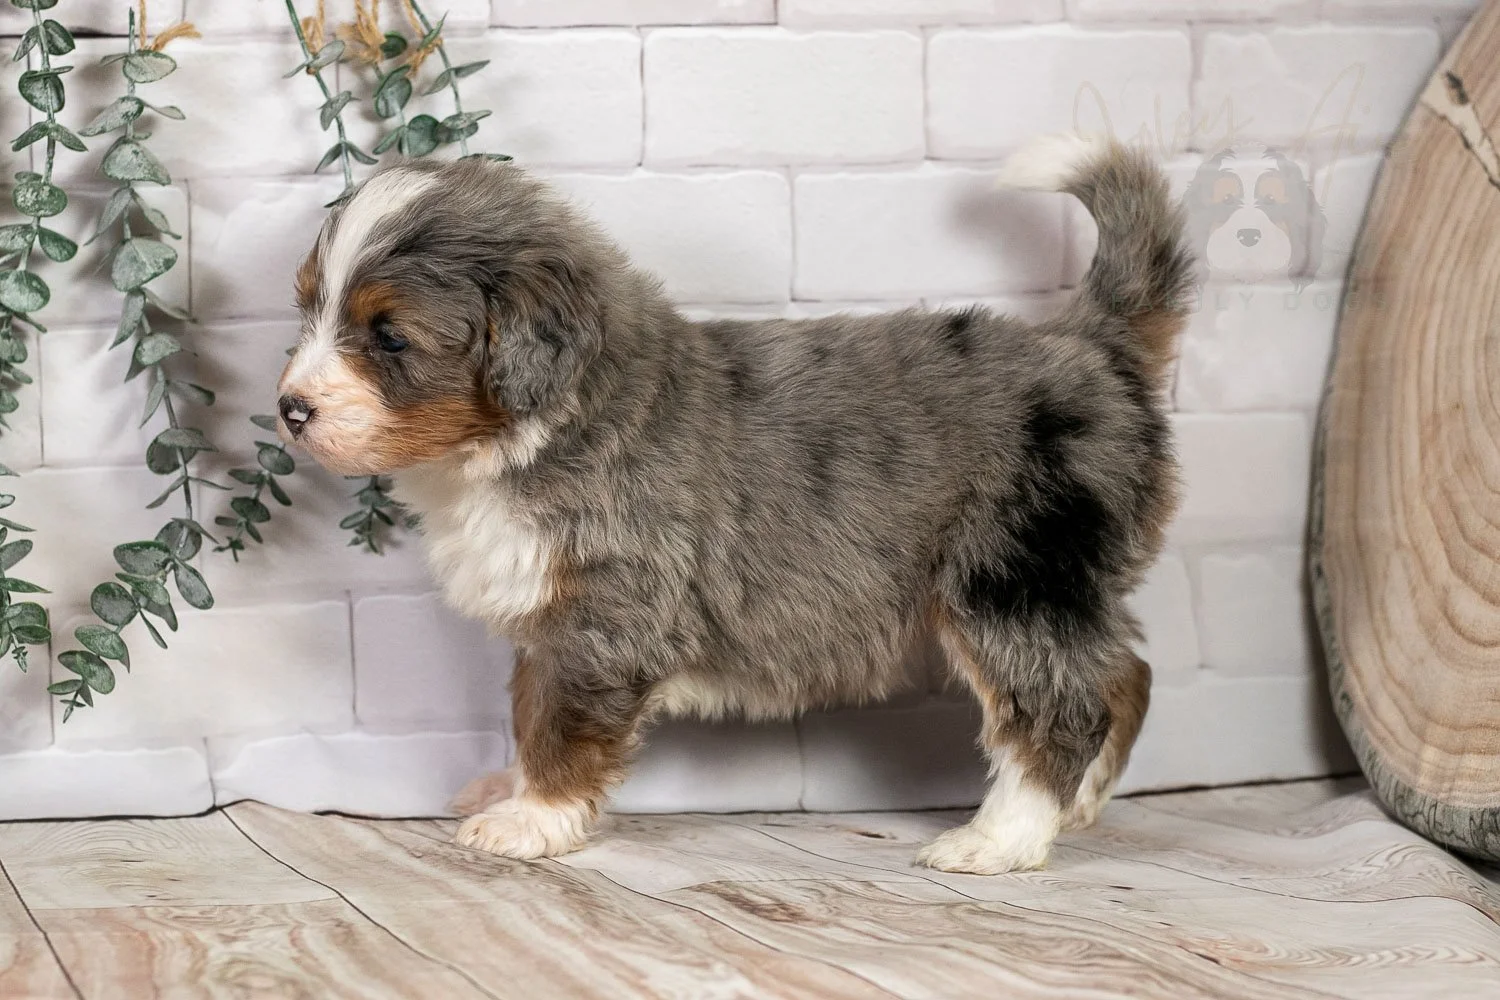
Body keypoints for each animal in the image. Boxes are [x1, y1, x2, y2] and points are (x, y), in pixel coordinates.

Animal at [276, 133, 1193, 874]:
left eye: (390, 337)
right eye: (309, 306)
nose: (290, 407)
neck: (534, 429)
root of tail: (1088, 345)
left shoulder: (606, 613)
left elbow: (563, 722)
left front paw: (531, 821)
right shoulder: (549, 616)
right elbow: (529, 708)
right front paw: (511, 788)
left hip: (1011, 578)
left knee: (1058, 705)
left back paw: (1000, 839)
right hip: (1066, 582)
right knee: (1126, 669)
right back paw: (1081, 805)